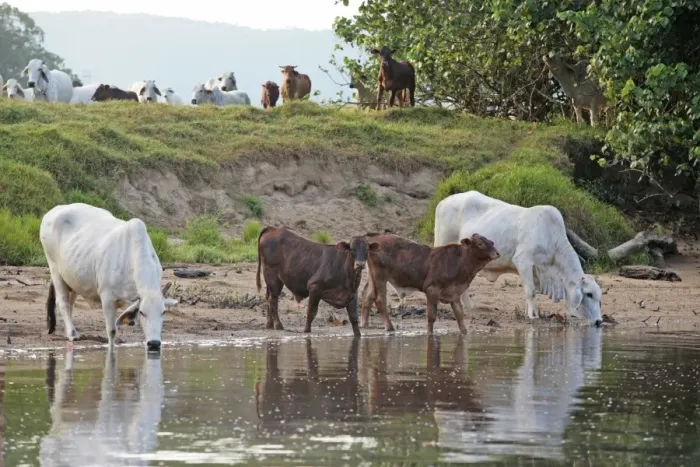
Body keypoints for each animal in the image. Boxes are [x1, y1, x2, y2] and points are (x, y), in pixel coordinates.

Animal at [39, 203, 178, 351]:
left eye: (163, 312)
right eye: (142, 312)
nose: (154, 343)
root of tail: (55, 210)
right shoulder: (107, 299)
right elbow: (111, 331)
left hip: (72, 278)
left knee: (70, 303)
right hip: (54, 269)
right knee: (63, 302)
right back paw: (72, 333)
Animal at [360, 233, 499, 334]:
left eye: (491, 242)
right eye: (480, 243)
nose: (497, 253)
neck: (459, 262)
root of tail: (375, 236)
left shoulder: (454, 293)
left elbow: (460, 315)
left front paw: (464, 332)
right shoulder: (432, 290)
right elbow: (431, 316)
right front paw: (429, 334)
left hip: (372, 276)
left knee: (367, 295)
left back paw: (364, 324)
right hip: (380, 276)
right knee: (380, 299)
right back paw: (389, 327)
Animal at [433, 191, 603, 326]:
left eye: (599, 296)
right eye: (589, 294)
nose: (599, 322)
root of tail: (443, 202)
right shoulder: (523, 261)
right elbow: (531, 291)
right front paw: (533, 316)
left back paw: (468, 305)